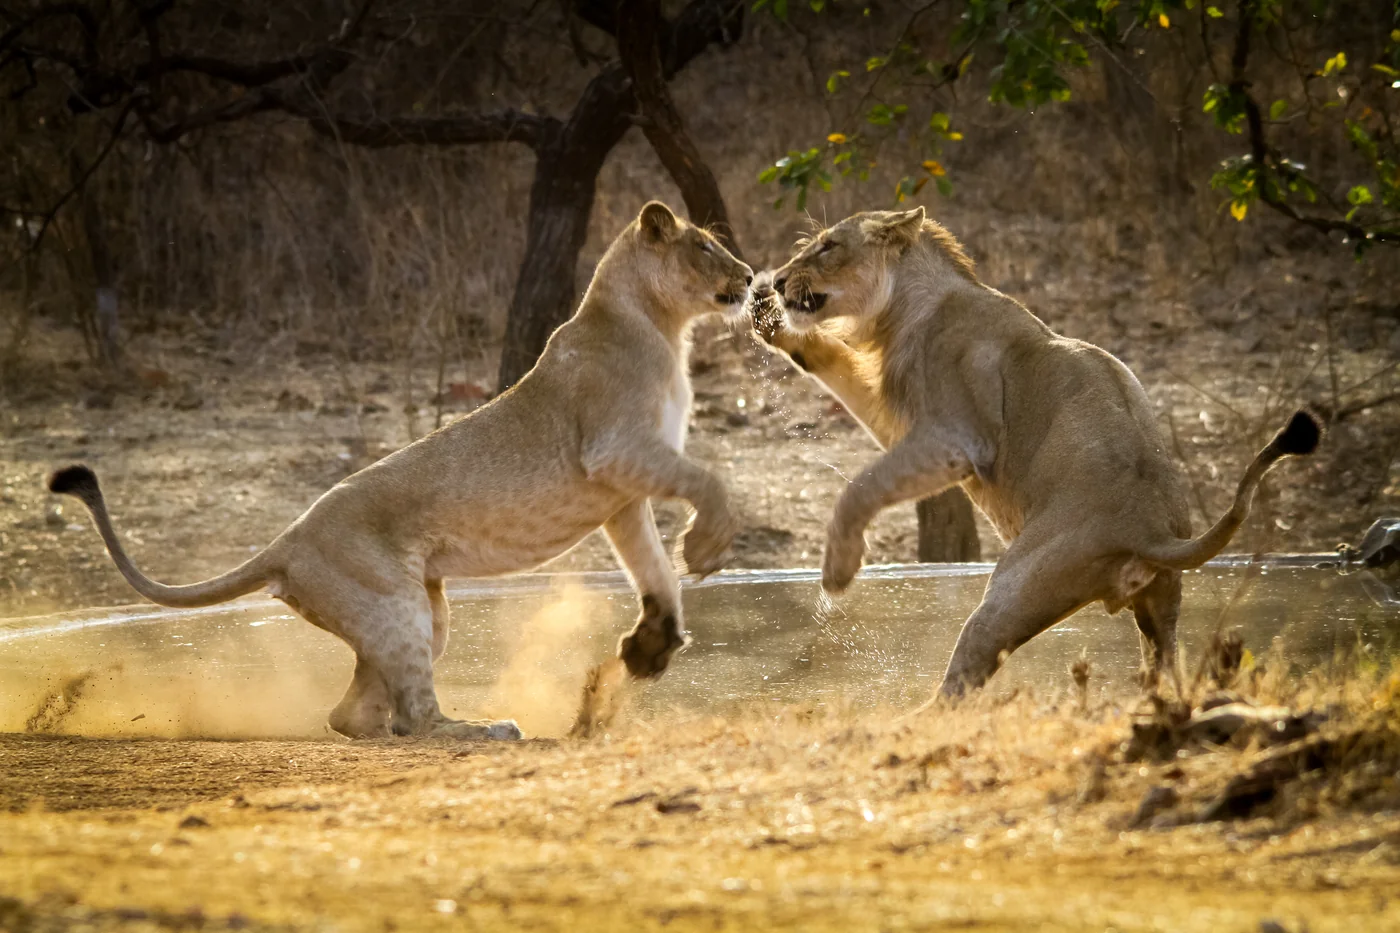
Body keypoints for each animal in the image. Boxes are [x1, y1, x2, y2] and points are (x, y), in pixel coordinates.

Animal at [50, 200, 753, 738]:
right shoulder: (614, 450)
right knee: (414, 717)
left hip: (417, 614)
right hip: (399, 606)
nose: (750, 277)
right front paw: (706, 549)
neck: (662, 326)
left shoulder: (620, 496)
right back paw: (485, 729)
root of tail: (288, 538)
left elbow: (653, 568)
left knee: (354, 715)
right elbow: (710, 482)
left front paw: (652, 644)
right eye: (706, 248)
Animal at [750, 207, 1319, 697]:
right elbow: (834, 364)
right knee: (1163, 668)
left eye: (828, 246)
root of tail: (1152, 530)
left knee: (959, 685)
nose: (775, 281)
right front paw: (770, 322)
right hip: (1160, 606)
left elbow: (862, 487)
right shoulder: (903, 418)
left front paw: (839, 571)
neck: (906, 305)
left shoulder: (955, 437)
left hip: (1013, 588)